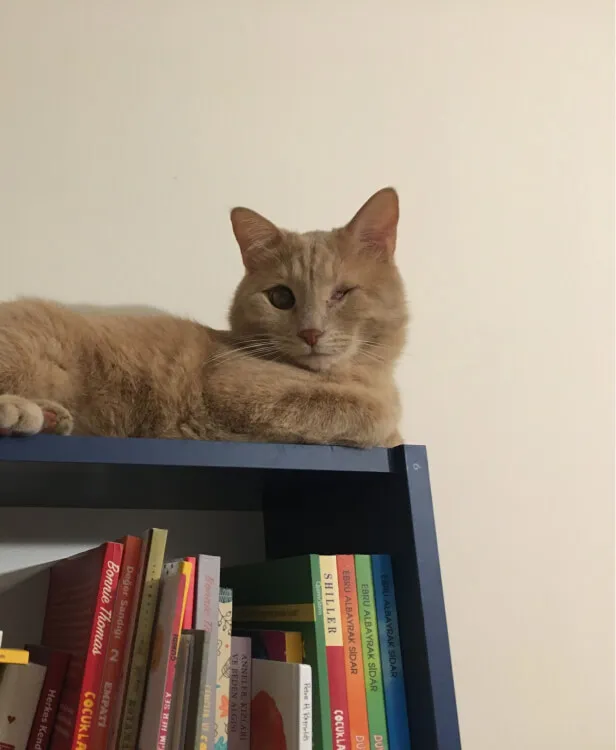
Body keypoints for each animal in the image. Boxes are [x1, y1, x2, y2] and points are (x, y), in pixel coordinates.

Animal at [0, 188, 410, 450]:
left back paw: (51, 417)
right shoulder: (239, 389)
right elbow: (372, 412)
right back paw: (19, 410)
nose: (311, 332)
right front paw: (392, 432)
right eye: (281, 297)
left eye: (342, 293)